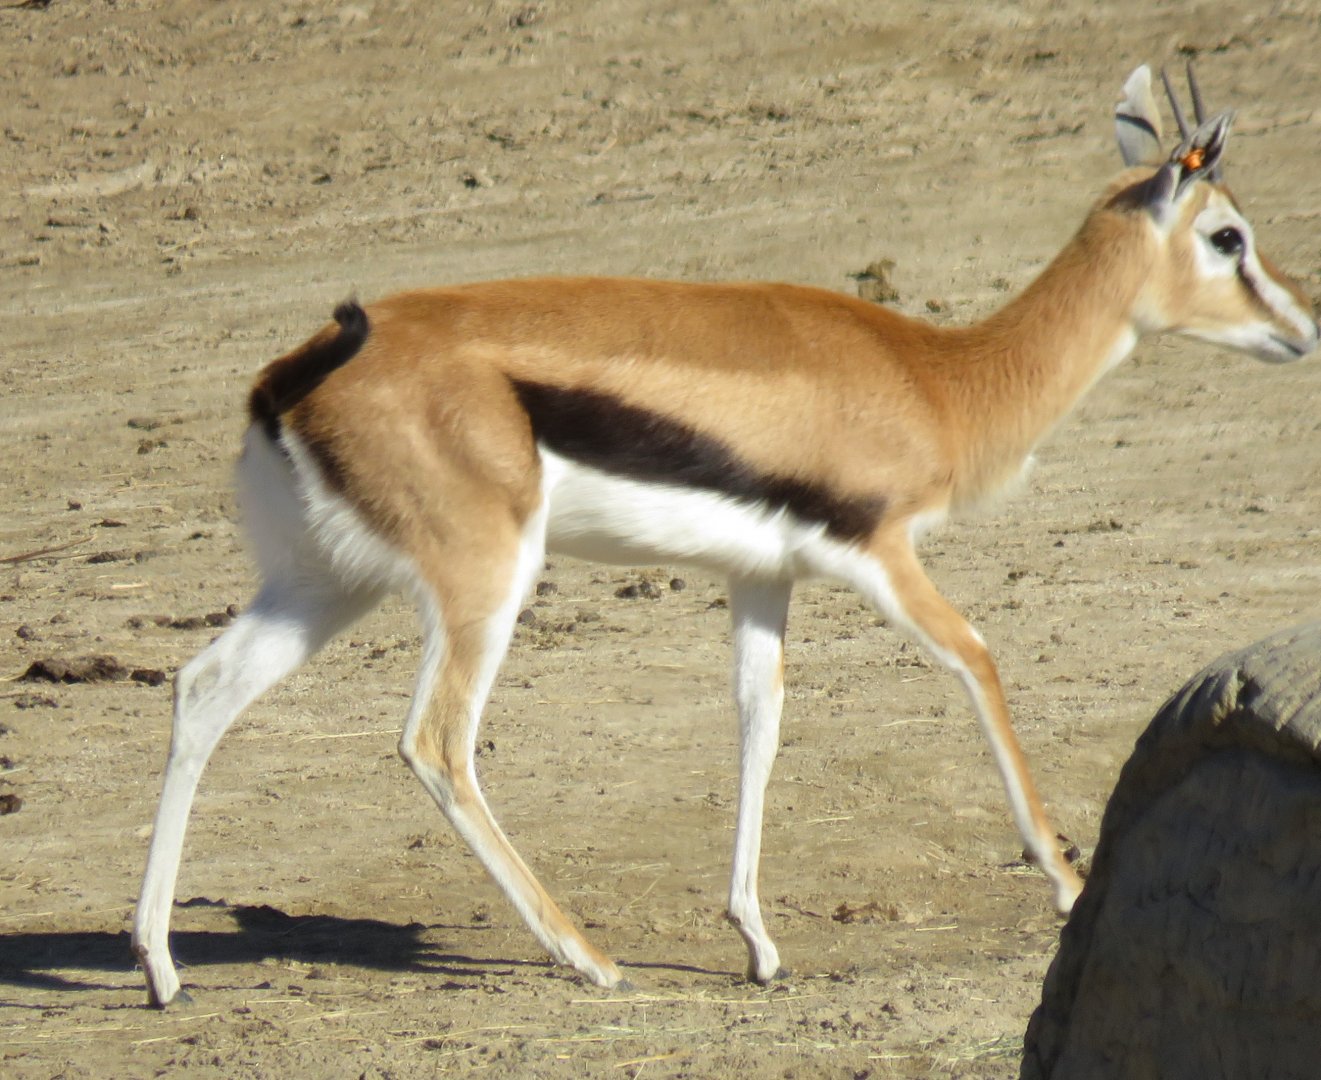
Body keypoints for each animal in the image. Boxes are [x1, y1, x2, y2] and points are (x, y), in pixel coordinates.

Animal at [132, 65, 1318, 1006]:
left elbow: (758, 722)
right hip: (482, 583)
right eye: (1228, 236)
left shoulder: (760, 577)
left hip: (325, 585)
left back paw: (159, 967)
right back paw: (588, 958)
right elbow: (976, 659)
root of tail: (293, 373)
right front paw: (1067, 878)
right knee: (435, 740)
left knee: (203, 688)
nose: (1301, 328)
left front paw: (758, 944)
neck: (936, 379)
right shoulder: (879, 556)